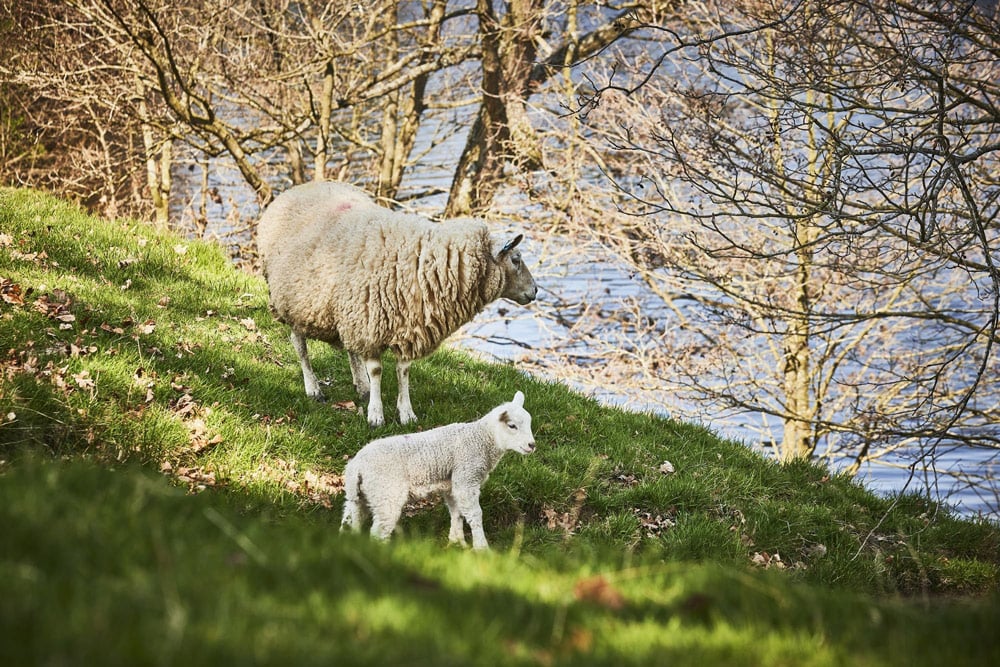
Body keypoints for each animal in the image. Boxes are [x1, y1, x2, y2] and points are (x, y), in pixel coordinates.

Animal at [258, 180, 540, 428]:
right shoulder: (372, 323)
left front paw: (406, 413)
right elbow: (376, 371)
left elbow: (403, 371)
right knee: (300, 346)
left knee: (351, 350)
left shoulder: (406, 324)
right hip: (292, 302)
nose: (535, 290)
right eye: (516, 259)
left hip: (346, 310)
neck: (428, 261)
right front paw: (375, 415)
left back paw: (360, 386)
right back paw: (313, 388)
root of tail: (301, 187)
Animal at [340, 388, 536, 552]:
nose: (532, 445)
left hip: (361, 495)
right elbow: (475, 514)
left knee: (350, 519)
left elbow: (456, 512)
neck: (481, 439)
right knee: (379, 531)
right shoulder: (466, 478)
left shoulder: (452, 485)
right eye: (512, 426)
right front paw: (482, 549)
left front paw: (457, 542)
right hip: (386, 494)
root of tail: (356, 465)